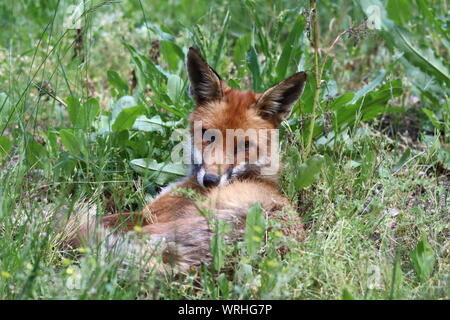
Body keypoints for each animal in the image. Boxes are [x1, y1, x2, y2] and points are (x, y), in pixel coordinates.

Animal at [70, 47, 308, 272]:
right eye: (208, 135)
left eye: (245, 145)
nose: (210, 181)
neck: (256, 175)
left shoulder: (148, 214)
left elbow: (104, 216)